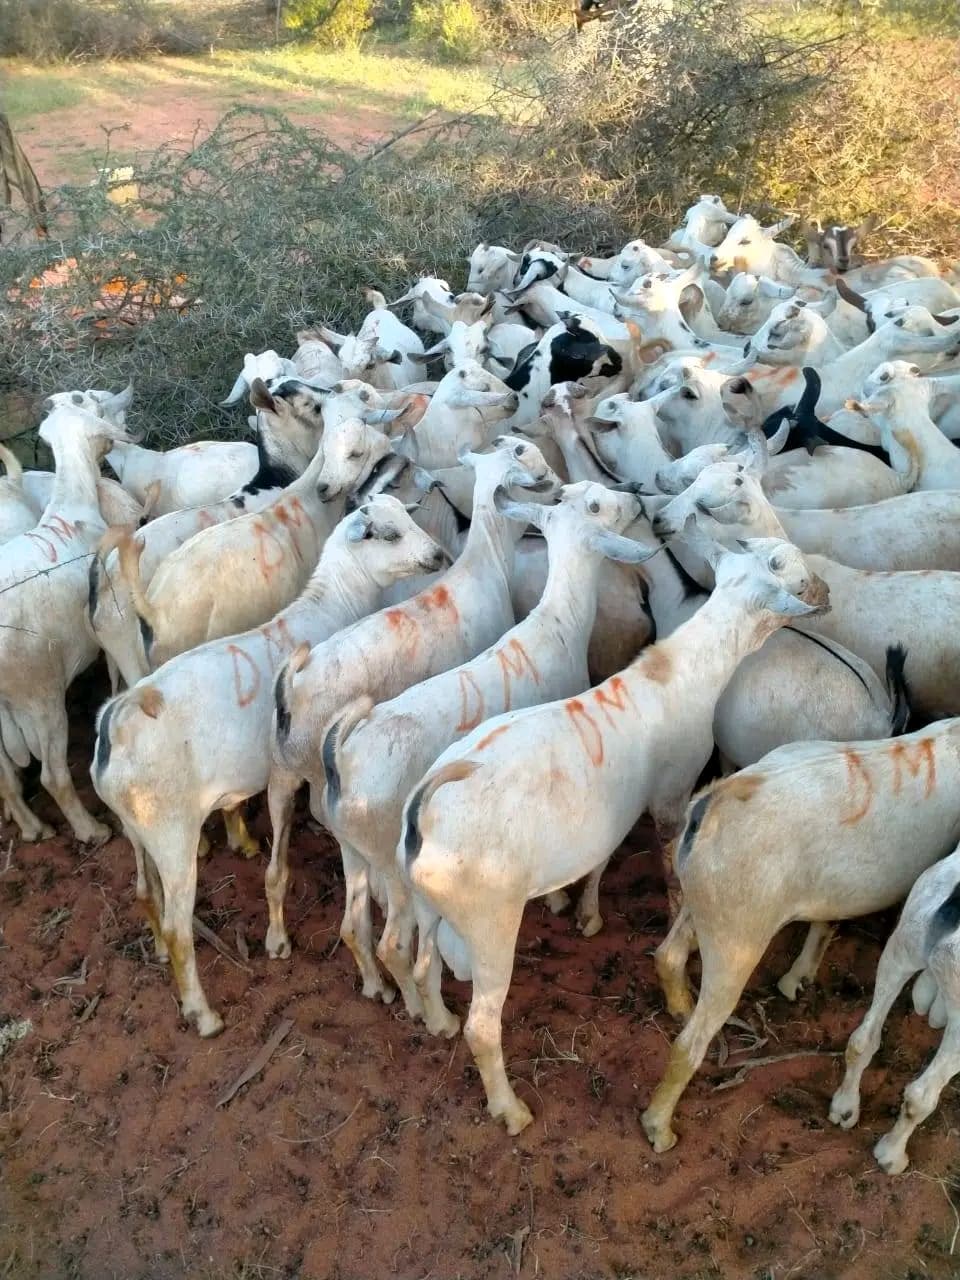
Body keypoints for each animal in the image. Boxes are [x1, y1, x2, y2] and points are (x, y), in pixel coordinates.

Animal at [91, 497, 445, 1037]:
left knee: (143, 891)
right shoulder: (288, 775)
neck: (329, 607)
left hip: (136, 826)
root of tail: (118, 721)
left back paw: (156, 949)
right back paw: (203, 1013)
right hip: (171, 832)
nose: (439, 555)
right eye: (389, 534)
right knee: (177, 925)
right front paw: (278, 942)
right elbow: (280, 865)